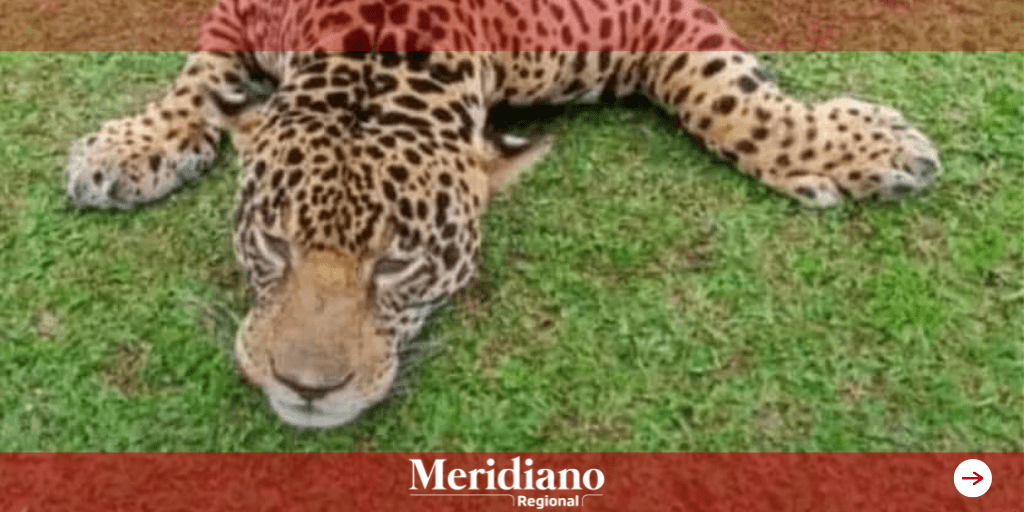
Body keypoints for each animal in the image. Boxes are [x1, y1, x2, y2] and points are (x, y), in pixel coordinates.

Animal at [63, 0, 941, 428]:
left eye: (398, 264)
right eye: (272, 244)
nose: (304, 388)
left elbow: (728, 96)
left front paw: (857, 147)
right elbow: (200, 74)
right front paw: (136, 144)